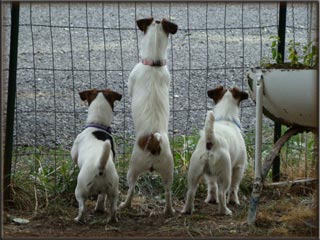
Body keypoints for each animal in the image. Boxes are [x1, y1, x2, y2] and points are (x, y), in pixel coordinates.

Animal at [70, 88, 122, 223]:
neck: (98, 124)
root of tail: (100, 167)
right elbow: (101, 198)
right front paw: (100, 208)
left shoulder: (74, 151)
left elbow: (74, 159)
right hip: (114, 190)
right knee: (113, 207)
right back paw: (111, 218)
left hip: (80, 190)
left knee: (82, 208)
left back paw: (77, 219)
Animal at [120, 16, 178, 216]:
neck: (154, 63)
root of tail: (154, 139)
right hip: (169, 170)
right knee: (168, 192)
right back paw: (169, 210)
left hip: (133, 168)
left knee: (131, 188)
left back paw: (125, 205)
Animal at [181, 86, 249, 216]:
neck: (226, 118)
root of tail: (211, 139)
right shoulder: (239, 167)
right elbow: (234, 187)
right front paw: (234, 201)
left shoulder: (209, 174)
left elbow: (212, 186)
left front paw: (211, 199)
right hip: (225, 173)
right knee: (222, 193)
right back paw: (225, 211)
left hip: (194, 172)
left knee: (190, 192)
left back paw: (187, 210)